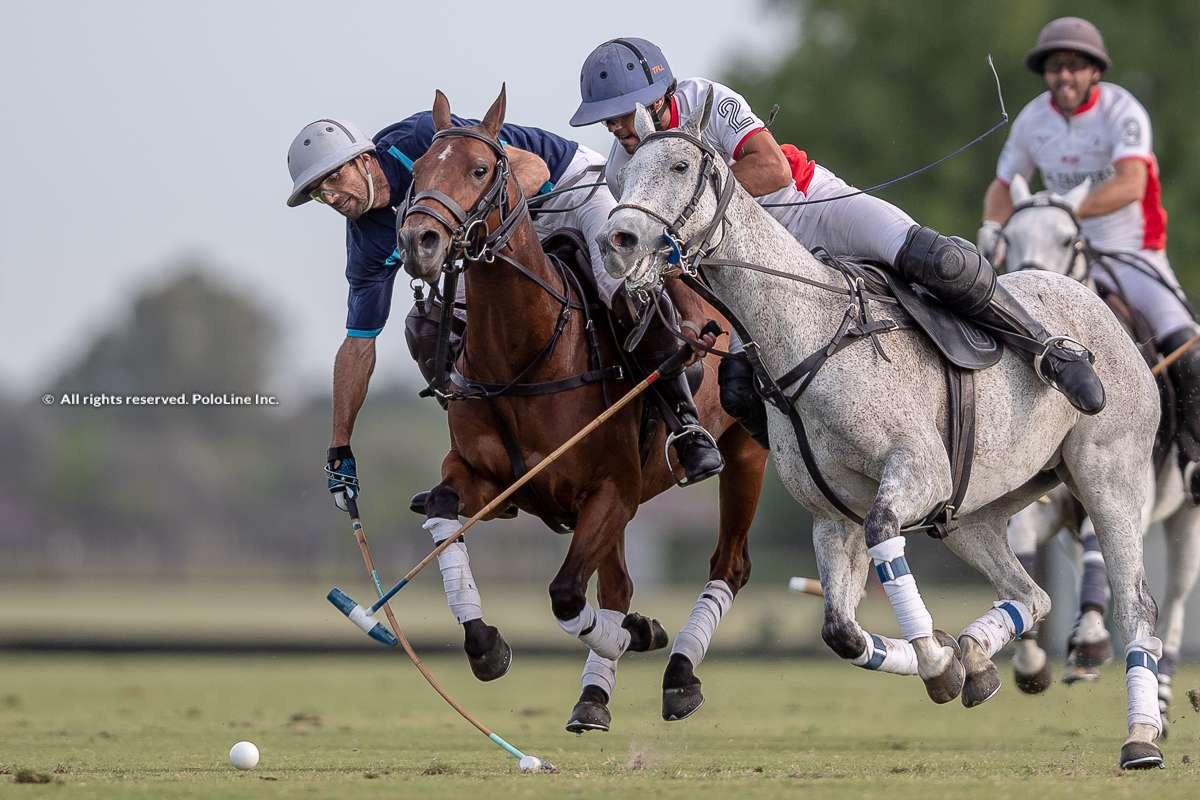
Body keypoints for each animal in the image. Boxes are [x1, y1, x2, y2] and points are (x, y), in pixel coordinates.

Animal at [393, 86, 768, 734]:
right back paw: (594, 696)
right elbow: (443, 511)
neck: (525, 355)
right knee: (619, 584)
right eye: (416, 171)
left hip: (744, 453)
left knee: (729, 563)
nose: (420, 242)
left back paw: (678, 673)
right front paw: (486, 644)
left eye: (480, 169)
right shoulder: (492, 483)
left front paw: (638, 636)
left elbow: (567, 593)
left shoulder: (610, 491)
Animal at [604, 87, 1166, 767]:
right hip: (974, 511)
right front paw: (949, 661)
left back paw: (1141, 739)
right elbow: (840, 632)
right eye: (621, 178)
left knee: (1135, 604)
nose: (618, 240)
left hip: (1110, 476)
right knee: (1032, 594)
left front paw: (939, 661)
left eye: (681, 167)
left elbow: (883, 538)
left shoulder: (916, 472)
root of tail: (1099, 307)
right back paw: (979, 656)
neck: (810, 334)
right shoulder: (832, 515)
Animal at [1003, 172, 1200, 734]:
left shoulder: (1126, 486)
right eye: (1008, 236)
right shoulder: (1044, 503)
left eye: (1070, 240)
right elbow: (1024, 544)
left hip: (1187, 516)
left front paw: (1091, 643)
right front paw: (1033, 660)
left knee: (1176, 596)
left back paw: (1161, 694)